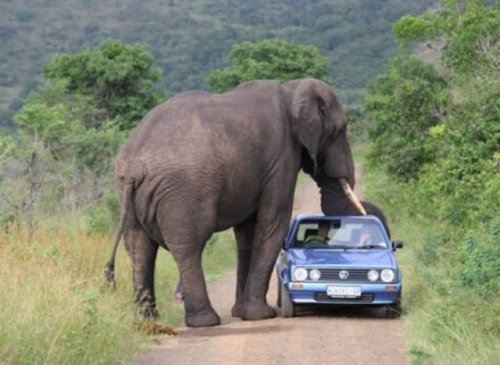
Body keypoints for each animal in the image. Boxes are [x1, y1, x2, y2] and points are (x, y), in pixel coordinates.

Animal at [105, 77, 364, 328]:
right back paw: (205, 322)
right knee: (189, 246)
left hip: (127, 192)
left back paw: (147, 321)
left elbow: (247, 233)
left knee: (139, 249)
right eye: (340, 130)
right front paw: (261, 315)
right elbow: (273, 223)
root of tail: (134, 167)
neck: (291, 88)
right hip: (184, 191)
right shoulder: (281, 158)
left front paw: (242, 313)